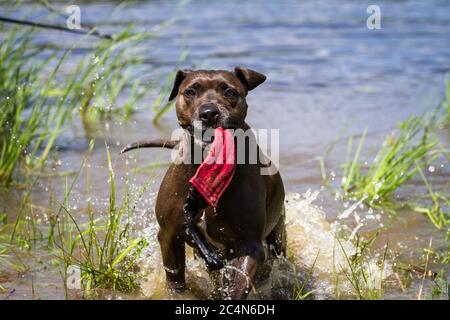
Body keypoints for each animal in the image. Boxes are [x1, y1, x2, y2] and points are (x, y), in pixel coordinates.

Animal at [155, 66, 284, 298]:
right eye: (190, 92)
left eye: (229, 92)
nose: (208, 113)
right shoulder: (168, 234)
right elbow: (175, 280)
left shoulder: (250, 245)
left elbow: (237, 286)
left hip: (277, 235)